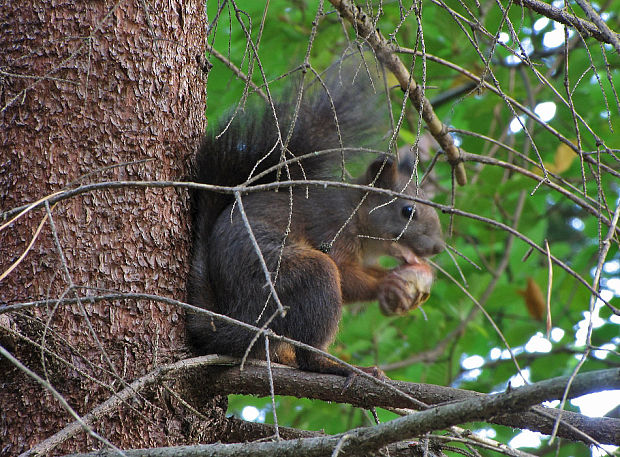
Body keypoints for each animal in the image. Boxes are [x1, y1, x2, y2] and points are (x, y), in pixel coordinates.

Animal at [186, 65, 444, 378]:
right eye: (408, 211)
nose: (438, 248)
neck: (357, 215)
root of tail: (241, 320)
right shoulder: (332, 230)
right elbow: (346, 275)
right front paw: (388, 284)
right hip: (292, 275)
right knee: (309, 351)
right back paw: (339, 367)